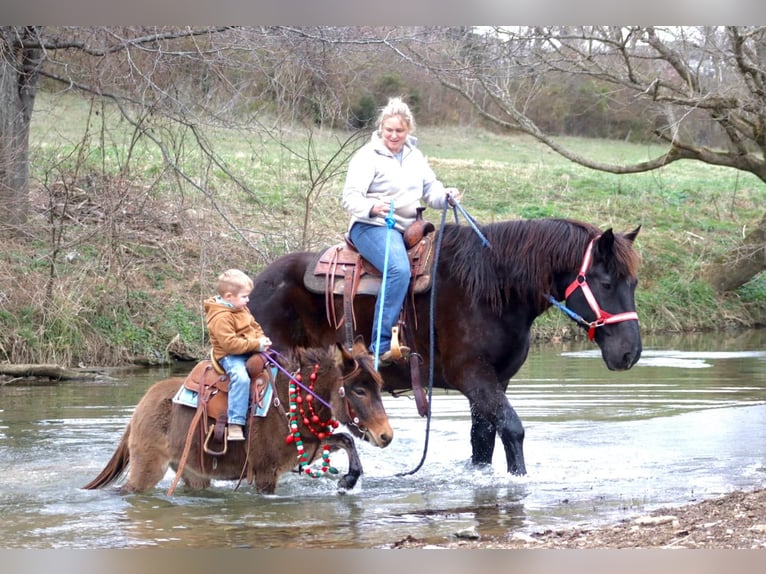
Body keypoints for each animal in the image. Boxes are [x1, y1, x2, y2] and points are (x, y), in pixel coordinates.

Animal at [85, 344, 390, 498]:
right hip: (147, 468)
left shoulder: (308, 444)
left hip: (193, 473)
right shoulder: (265, 473)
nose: (386, 436)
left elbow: (346, 439)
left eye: (378, 385)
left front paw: (348, 481)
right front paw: (348, 480)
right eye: (359, 390)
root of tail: (142, 406)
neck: (286, 400)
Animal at [250, 218, 640, 474]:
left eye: (633, 283)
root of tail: (255, 286)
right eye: (606, 282)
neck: (491, 290)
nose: (630, 353)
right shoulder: (473, 376)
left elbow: (483, 440)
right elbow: (512, 428)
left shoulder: (496, 381)